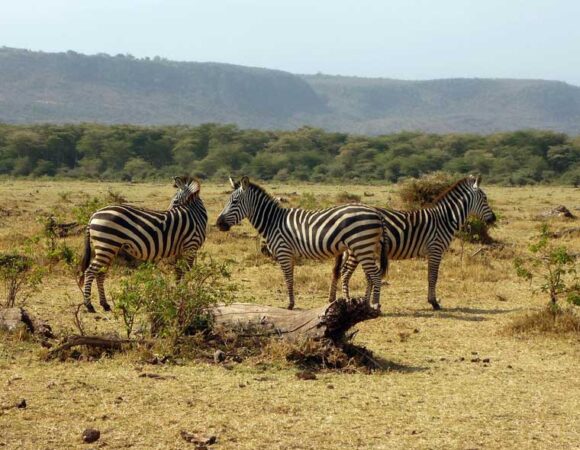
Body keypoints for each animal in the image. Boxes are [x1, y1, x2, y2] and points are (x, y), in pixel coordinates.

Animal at [78, 176, 207, 312]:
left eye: (175, 200)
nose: (168, 211)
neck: (195, 215)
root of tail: (94, 214)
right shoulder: (191, 246)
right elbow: (186, 272)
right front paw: (185, 294)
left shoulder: (181, 250)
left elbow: (178, 272)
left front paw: (179, 294)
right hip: (106, 245)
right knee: (90, 272)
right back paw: (89, 305)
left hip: (108, 248)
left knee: (100, 273)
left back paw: (105, 304)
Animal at [215, 176, 388, 310]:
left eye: (234, 201)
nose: (218, 224)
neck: (273, 222)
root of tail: (376, 212)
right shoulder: (290, 255)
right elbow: (291, 278)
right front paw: (292, 302)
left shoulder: (283, 252)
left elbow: (288, 278)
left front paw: (290, 305)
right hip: (365, 248)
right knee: (370, 275)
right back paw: (366, 303)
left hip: (361, 245)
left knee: (376, 274)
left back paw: (375, 305)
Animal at [342, 175, 496, 310]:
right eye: (485, 198)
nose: (493, 219)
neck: (444, 219)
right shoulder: (435, 249)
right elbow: (433, 276)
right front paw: (434, 302)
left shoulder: (432, 251)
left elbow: (430, 276)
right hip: (359, 248)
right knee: (346, 272)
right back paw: (347, 302)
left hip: (362, 250)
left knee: (361, 274)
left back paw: (362, 303)